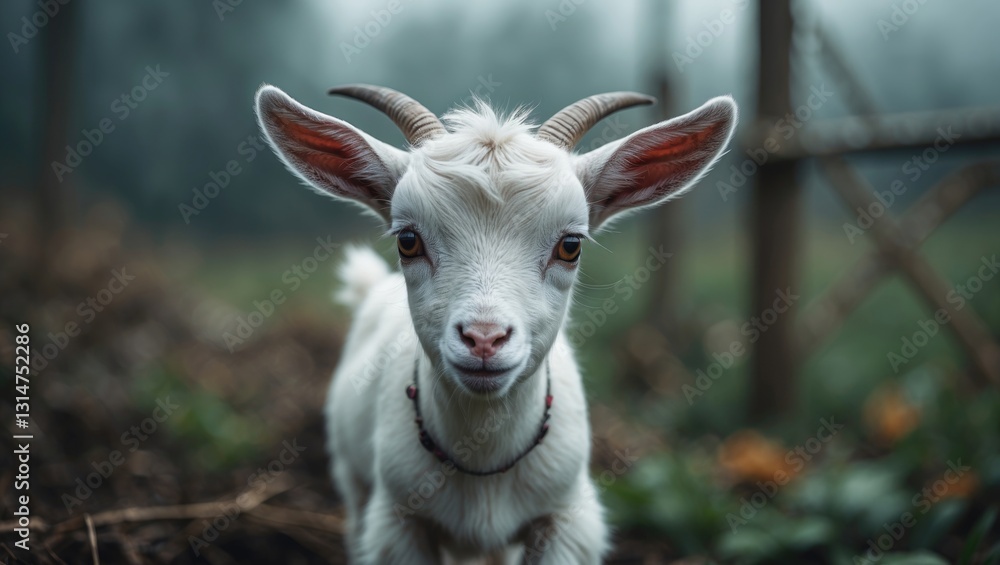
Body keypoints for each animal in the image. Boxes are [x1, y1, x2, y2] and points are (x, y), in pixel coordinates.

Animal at [255, 83, 737, 564]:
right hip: (352, 477)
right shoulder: (397, 522)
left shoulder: (566, 519)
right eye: (408, 240)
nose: (484, 339)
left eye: (571, 245)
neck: (483, 456)